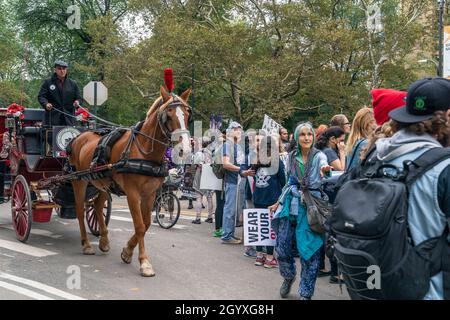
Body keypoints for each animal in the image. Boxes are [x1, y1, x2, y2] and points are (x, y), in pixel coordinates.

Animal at [68, 86, 192, 276]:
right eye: (168, 116)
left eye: (186, 114)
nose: (184, 149)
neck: (145, 152)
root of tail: (78, 137)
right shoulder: (133, 194)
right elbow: (139, 226)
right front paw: (144, 262)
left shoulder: (150, 194)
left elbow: (146, 224)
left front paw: (127, 252)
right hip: (79, 181)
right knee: (81, 211)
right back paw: (87, 244)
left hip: (103, 184)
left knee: (97, 206)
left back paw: (104, 241)